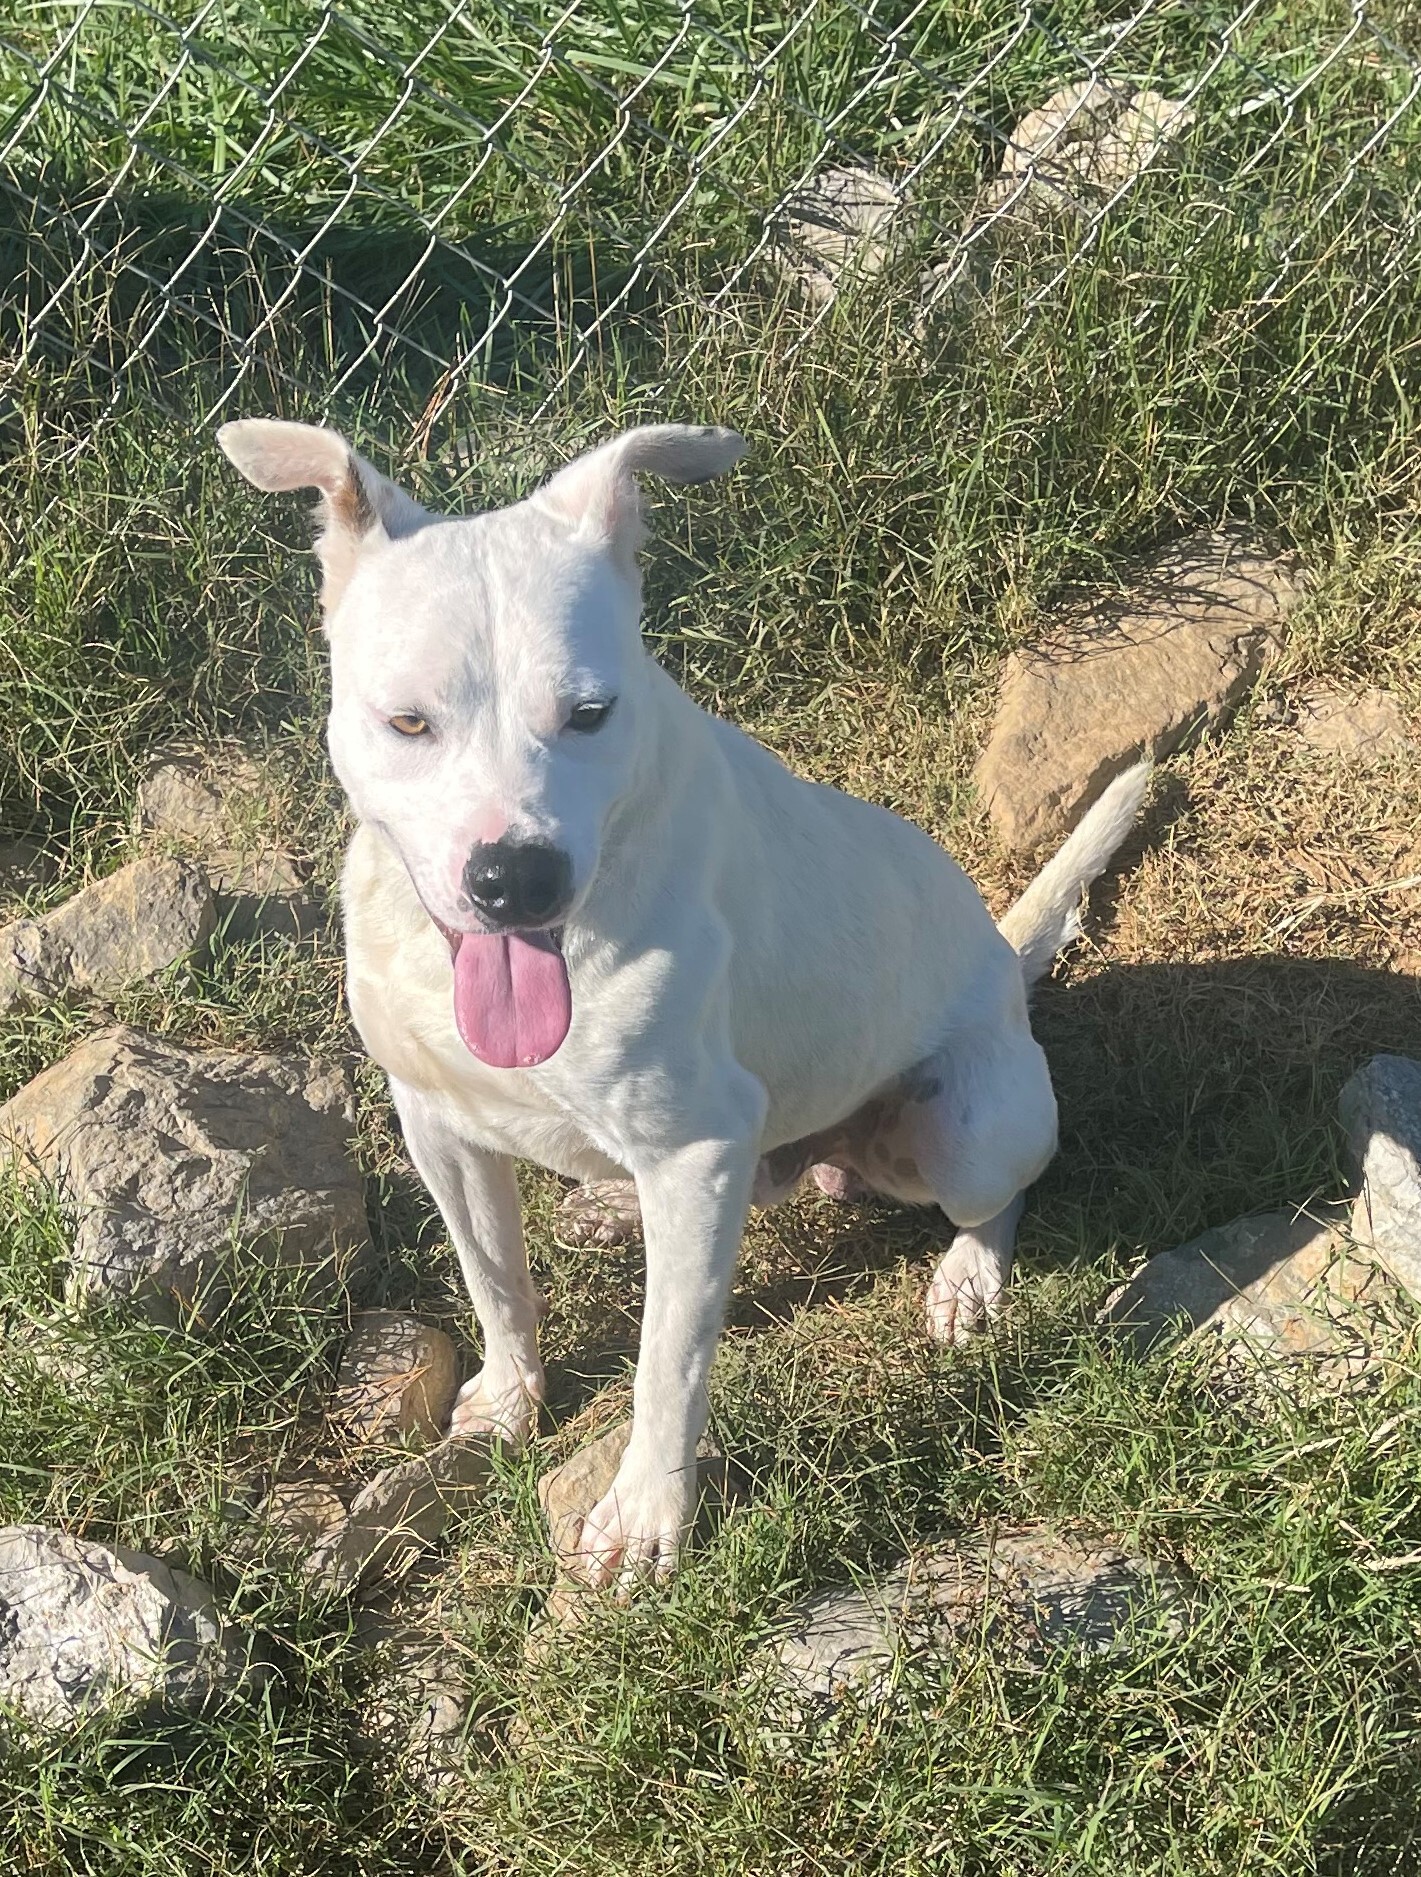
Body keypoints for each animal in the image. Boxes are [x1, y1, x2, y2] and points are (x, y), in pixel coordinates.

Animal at [221, 422, 1148, 1584]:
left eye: (590, 714)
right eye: (406, 721)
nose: (514, 878)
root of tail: (1000, 960)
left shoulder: (698, 1144)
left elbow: (666, 1361)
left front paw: (646, 1516)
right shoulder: (438, 1127)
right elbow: (494, 1278)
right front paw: (510, 1400)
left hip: (966, 1128)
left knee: (999, 1194)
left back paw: (968, 1277)